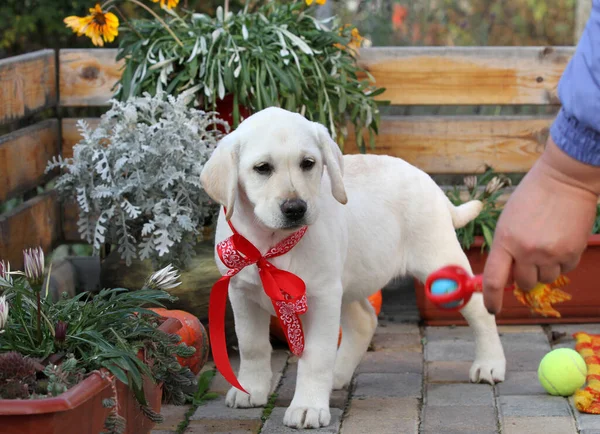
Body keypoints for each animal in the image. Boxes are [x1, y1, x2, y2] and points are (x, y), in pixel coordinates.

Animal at [202, 107, 506, 428]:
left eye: (308, 163)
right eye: (262, 168)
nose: (296, 208)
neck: (271, 244)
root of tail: (427, 179)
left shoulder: (321, 296)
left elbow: (316, 356)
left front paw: (308, 406)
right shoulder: (242, 293)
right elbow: (252, 346)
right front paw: (250, 390)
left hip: (438, 262)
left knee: (480, 311)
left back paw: (490, 364)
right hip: (348, 279)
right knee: (364, 320)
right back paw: (336, 375)